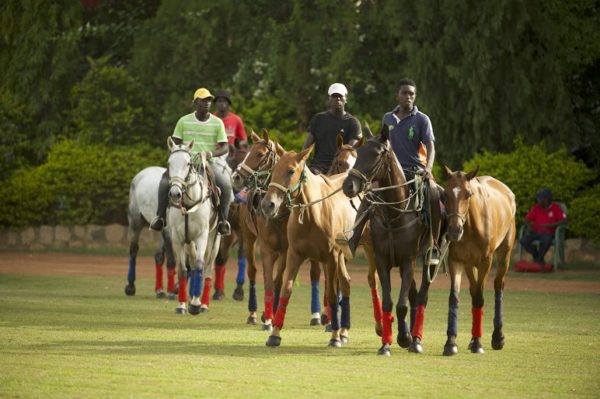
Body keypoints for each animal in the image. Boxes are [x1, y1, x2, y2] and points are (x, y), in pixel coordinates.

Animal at [123, 166, 177, 300]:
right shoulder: (169, 231)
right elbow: (171, 260)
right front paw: (172, 291)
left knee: (158, 255)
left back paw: (159, 290)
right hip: (135, 222)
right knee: (133, 250)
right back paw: (130, 286)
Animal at [165, 138, 221, 316]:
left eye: (188, 163)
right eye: (169, 163)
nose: (175, 194)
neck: (189, 204)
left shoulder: (202, 236)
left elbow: (199, 264)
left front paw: (195, 304)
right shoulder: (177, 238)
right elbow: (183, 269)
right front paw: (182, 304)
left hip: (215, 239)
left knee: (208, 267)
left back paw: (203, 304)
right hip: (188, 242)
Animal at [340, 130, 434, 358]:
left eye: (375, 154)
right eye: (359, 153)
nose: (348, 186)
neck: (394, 215)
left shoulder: (408, 260)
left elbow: (401, 304)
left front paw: (405, 338)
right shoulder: (382, 260)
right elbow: (389, 302)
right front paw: (387, 343)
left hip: (428, 256)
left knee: (422, 296)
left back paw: (416, 339)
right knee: (413, 293)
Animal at [438, 166, 516, 356]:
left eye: (468, 194)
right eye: (445, 195)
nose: (454, 230)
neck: (471, 227)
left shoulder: (485, 262)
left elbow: (480, 298)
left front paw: (479, 344)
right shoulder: (456, 261)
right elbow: (454, 297)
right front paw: (451, 343)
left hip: (504, 255)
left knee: (498, 285)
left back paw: (497, 337)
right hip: (469, 264)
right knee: (473, 290)